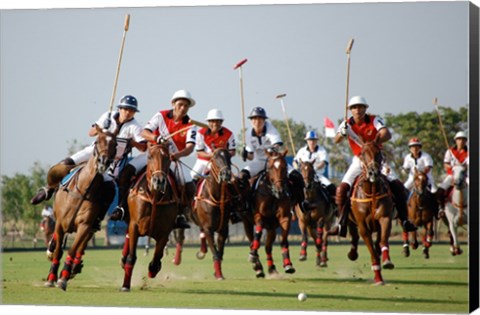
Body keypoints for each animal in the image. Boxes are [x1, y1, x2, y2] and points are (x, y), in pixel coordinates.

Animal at [44, 126, 118, 292]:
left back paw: (74, 268)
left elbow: (73, 250)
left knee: (80, 248)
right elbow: (58, 251)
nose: (104, 162)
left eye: (115, 144)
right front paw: (51, 278)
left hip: (91, 228)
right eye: (97, 141)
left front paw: (63, 278)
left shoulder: (85, 226)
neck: (83, 190)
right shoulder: (60, 224)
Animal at [120, 142, 180, 292]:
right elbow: (131, 257)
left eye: (168, 157)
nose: (159, 181)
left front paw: (152, 271)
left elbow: (156, 259)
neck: (154, 197)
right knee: (127, 237)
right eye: (150, 156)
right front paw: (125, 285)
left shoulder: (165, 232)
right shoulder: (135, 225)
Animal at [192, 149, 235, 280]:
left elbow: (219, 253)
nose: (226, 174)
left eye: (229, 157)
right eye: (215, 159)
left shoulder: (223, 229)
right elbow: (215, 252)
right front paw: (219, 275)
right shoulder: (208, 228)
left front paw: (218, 273)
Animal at [248, 149, 296, 278]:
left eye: (285, 167)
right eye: (270, 167)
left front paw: (288, 264)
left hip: (272, 228)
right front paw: (253, 255)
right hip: (247, 222)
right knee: (252, 241)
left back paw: (271, 268)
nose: (280, 191)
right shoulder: (258, 215)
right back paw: (257, 266)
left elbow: (284, 240)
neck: (272, 195)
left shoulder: (285, 217)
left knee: (268, 247)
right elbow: (258, 233)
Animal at [348, 141, 394, 286]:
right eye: (363, 153)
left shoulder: (385, 218)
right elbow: (372, 253)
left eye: (378, 152)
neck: (371, 192)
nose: (373, 172)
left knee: (378, 240)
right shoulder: (363, 226)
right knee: (354, 236)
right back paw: (352, 254)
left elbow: (383, 240)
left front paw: (387, 261)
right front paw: (378, 278)